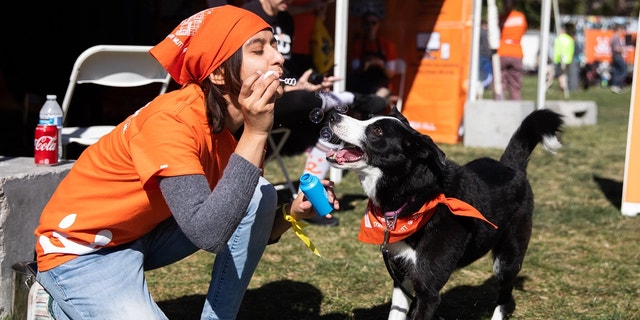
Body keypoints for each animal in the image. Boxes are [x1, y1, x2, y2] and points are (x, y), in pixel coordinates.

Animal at [328, 108, 564, 320]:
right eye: (368, 117)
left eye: (377, 131)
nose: (333, 114)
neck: (417, 196)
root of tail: (511, 167)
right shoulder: (401, 277)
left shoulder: (429, 292)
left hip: (507, 259)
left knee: (505, 297)